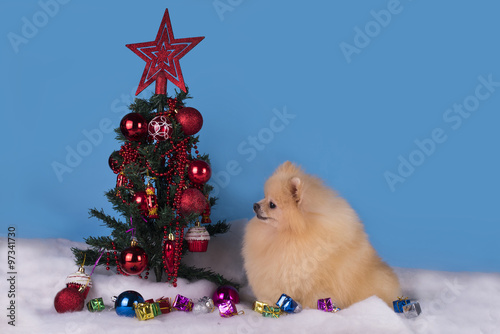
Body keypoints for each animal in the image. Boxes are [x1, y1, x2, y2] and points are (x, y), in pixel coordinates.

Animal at [240, 162, 400, 308]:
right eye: (264, 196)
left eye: (272, 204)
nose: (255, 205)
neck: (291, 233)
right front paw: (268, 303)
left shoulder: (316, 282)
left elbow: (314, 298)